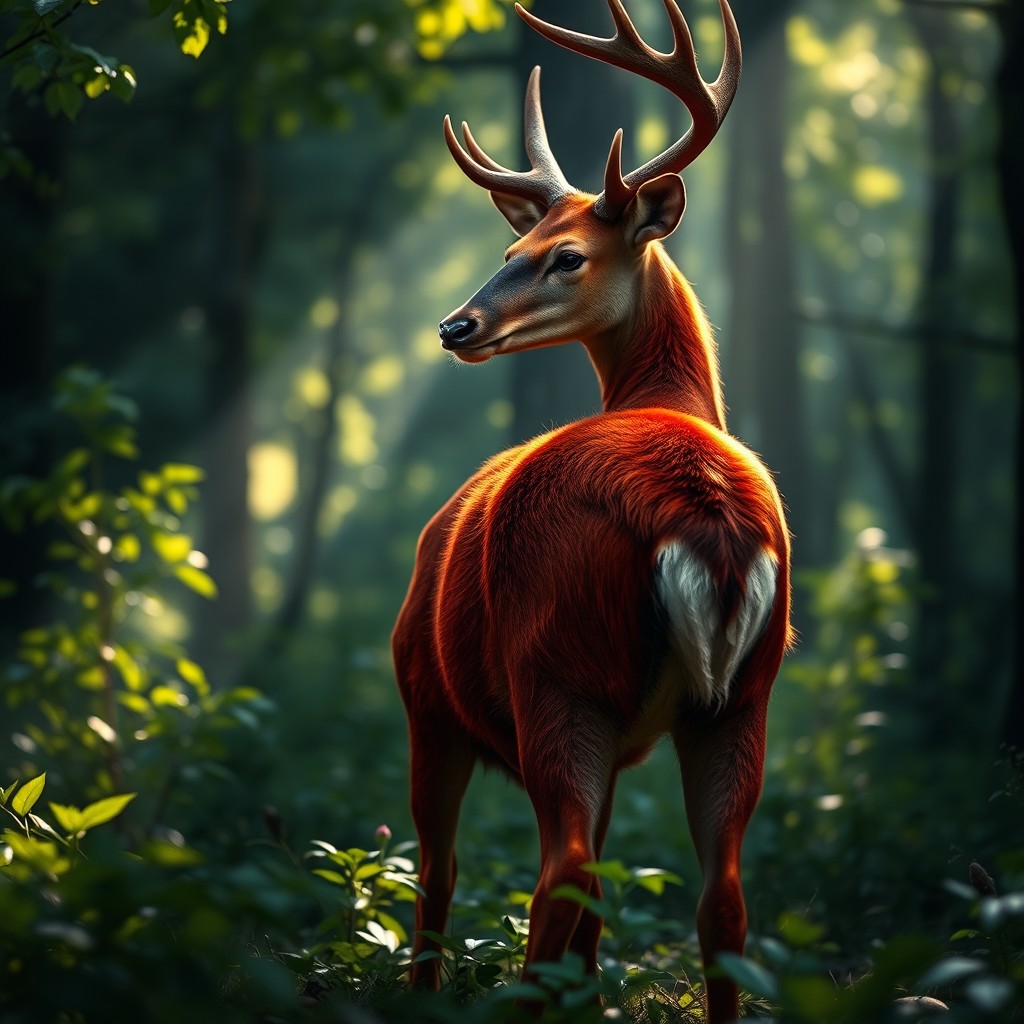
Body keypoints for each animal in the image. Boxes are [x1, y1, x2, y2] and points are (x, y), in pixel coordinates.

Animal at [392, 1, 792, 1020]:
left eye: (567, 257)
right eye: (510, 252)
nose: (455, 326)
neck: (667, 398)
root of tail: (703, 516)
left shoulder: (428, 693)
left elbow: (445, 878)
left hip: (550, 669)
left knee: (536, 875)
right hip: (745, 691)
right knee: (720, 895)